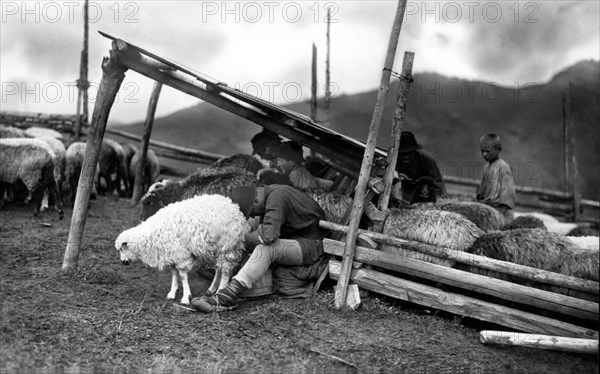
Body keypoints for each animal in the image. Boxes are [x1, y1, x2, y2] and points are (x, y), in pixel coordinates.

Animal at [115, 193, 248, 304]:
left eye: (122, 248)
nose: (123, 262)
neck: (151, 236)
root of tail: (232, 205)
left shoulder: (181, 255)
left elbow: (183, 276)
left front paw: (185, 297)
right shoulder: (172, 254)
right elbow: (174, 274)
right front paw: (172, 293)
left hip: (228, 246)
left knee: (225, 270)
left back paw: (220, 291)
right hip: (216, 249)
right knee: (219, 268)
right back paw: (211, 289)